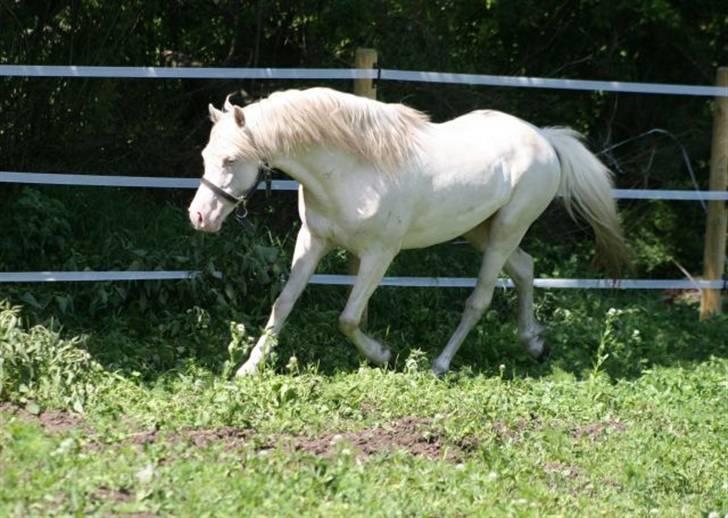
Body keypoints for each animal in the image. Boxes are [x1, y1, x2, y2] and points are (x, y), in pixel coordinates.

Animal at [188, 87, 627, 376]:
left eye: (231, 159)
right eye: (206, 155)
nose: (199, 217)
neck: (350, 169)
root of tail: (545, 140)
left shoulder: (380, 253)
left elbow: (348, 318)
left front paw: (383, 354)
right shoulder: (313, 240)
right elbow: (283, 303)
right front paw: (249, 368)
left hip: (507, 229)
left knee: (480, 299)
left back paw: (440, 364)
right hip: (481, 230)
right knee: (525, 268)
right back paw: (534, 343)